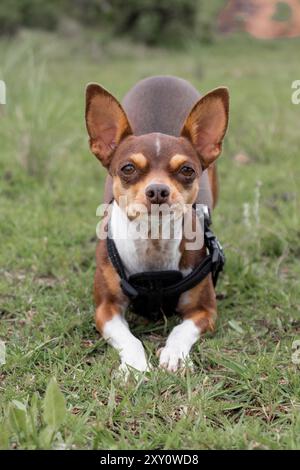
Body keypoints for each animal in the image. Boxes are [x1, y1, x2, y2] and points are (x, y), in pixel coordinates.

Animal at [84, 74, 230, 374]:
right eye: (128, 168)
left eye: (187, 170)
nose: (158, 190)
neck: (153, 240)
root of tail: (163, 77)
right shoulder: (106, 309)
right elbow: (129, 339)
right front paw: (135, 366)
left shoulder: (204, 311)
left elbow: (180, 330)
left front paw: (174, 355)